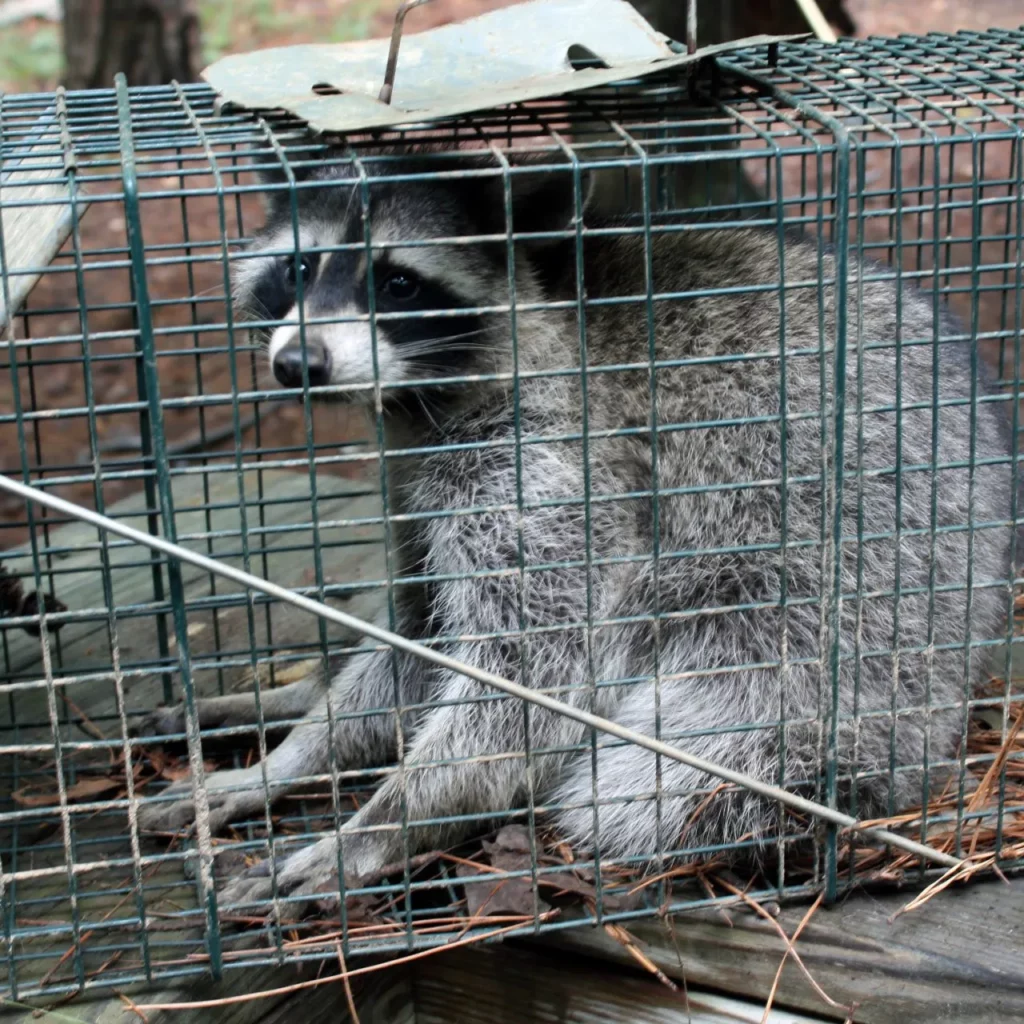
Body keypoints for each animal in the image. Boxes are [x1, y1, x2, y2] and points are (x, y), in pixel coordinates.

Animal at [138, 142, 1015, 913]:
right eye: (299, 268)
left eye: (398, 282)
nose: (300, 364)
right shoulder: (419, 486)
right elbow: (410, 649)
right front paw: (287, 757)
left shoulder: (558, 472)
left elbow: (529, 686)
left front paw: (381, 825)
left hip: (831, 625)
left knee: (655, 773)